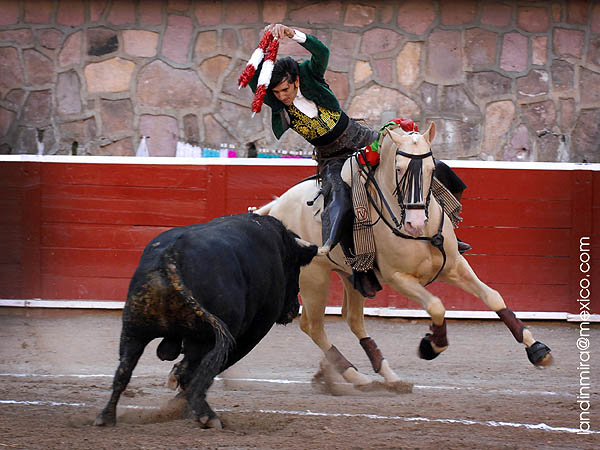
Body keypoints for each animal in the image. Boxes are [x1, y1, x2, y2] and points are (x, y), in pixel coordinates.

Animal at [95, 214, 318, 428]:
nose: (293, 309)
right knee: (194, 371)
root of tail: (171, 256)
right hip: (203, 338)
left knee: (124, 370)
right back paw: (207, 416)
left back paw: (106, 417)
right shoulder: (255, 329)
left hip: (134, 330)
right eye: (296, 268)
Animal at [253, 121, 552, 388]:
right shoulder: (399, 278)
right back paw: (354, 375)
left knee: (353, 319)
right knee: (313, 326)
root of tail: (276, 206)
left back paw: (385, 374)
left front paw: (537, 348)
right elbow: (436, 306)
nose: (416, 223)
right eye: (398, 169)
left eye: (432, 169)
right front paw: (431, 346)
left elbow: (493, 296)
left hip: (351, 277)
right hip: (314, 279)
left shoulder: (455, 265)